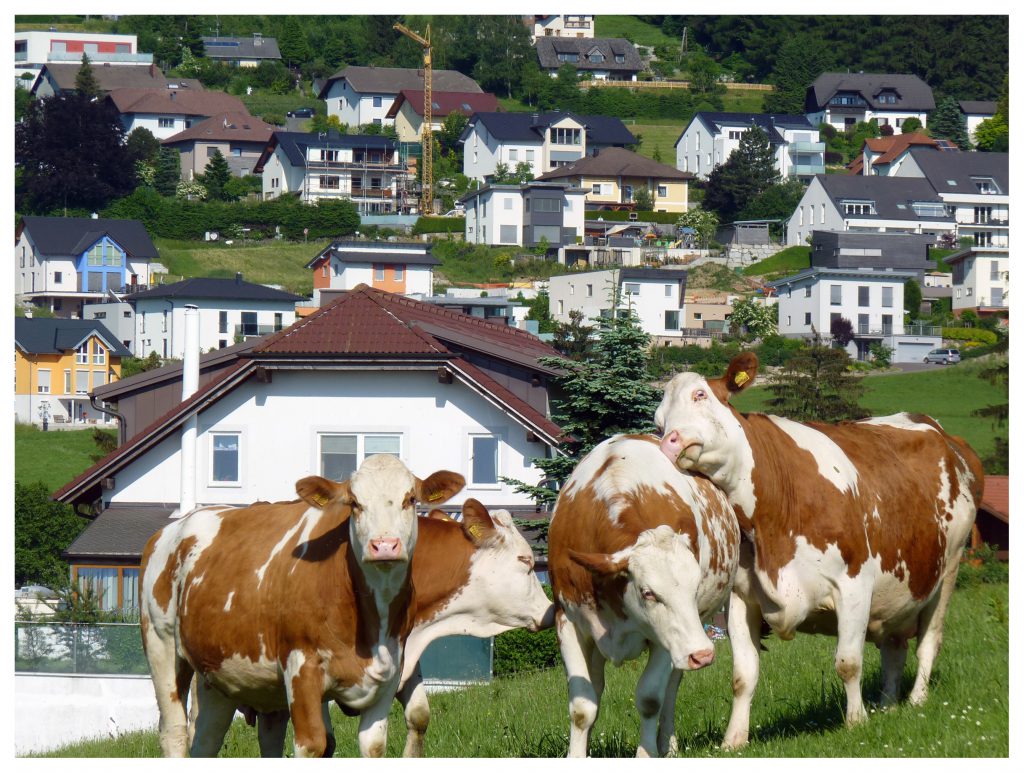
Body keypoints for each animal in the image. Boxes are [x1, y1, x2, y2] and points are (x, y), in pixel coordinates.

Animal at [139, 456, 464, 757]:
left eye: (410, 499)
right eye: (355, 503)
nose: (384, 545)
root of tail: (172, 528)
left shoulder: (391, 672)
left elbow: (373, 746)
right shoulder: (301, 667)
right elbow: (313, 745)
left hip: (219, 671)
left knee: (212, 737)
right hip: (161, 645)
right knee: (174, 731)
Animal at [552, 432, 737, 757]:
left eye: (694, 588)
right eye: (648, 592)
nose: (703, 654)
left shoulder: (666, 636)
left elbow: (651, 699)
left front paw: (647, 752)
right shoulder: (568, 621)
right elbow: (583, 707)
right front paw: (576, 755)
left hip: (684, 639)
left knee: (671, 688)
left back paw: (668, 745)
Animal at [655, 354, 983, 745]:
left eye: (700, 395)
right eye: (658, 421)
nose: (668, 441)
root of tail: (939, 431)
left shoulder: (855, 585)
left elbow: (848, 663)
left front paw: (856, 722)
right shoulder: (741, 598)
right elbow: (743, 676)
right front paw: (733, 740)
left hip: (949, 567)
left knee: (929, 640)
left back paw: (917, 699)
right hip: (899, 591)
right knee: (894, 647)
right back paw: (888, 705)